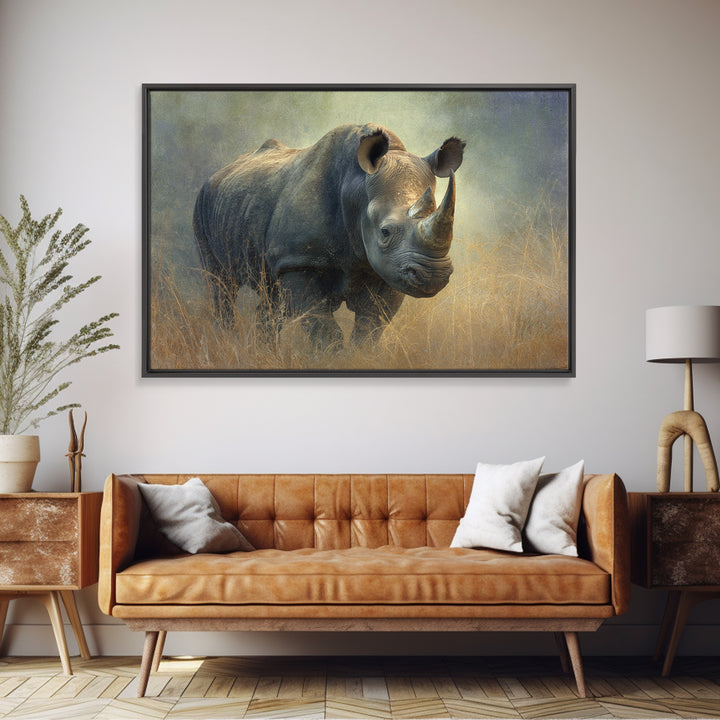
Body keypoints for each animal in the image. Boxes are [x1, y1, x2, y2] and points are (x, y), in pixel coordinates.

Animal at [193, 123, 465, 350]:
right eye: (385, 232)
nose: (433, 276)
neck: (356, 190)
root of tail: (220, 172)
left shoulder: (389, 270)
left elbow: (369, 328)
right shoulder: (299, 262)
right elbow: (324, 331)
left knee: (271, 297)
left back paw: (263, 351)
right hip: (202, 202)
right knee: (220, 285)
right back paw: (226, 342)